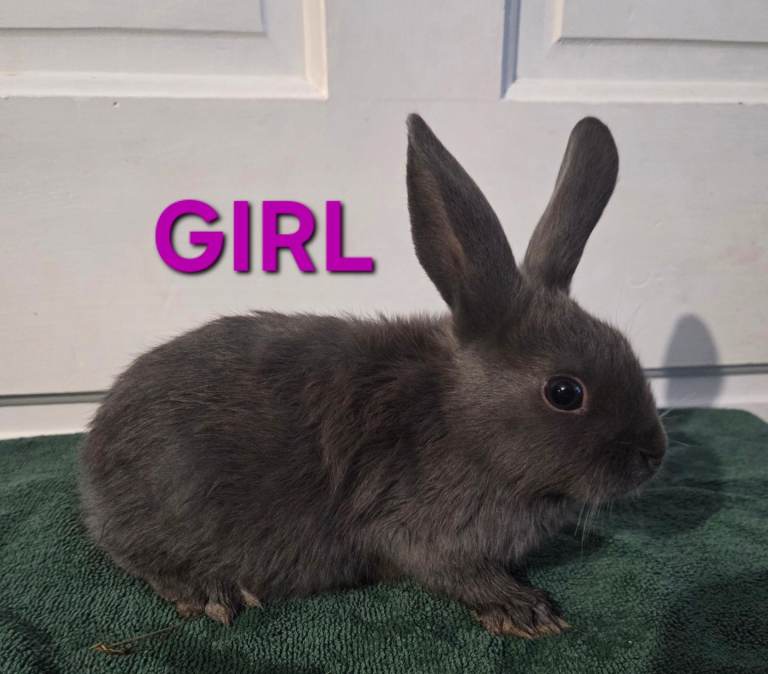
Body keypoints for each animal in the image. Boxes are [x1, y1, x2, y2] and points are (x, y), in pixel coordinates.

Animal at [79, 114, 667, 639]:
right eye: (565, 392)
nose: (653, 456)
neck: (459, 418)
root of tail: (95, 450)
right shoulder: (418, 530)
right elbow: (456, 572)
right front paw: (524, 609)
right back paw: (209, 592)